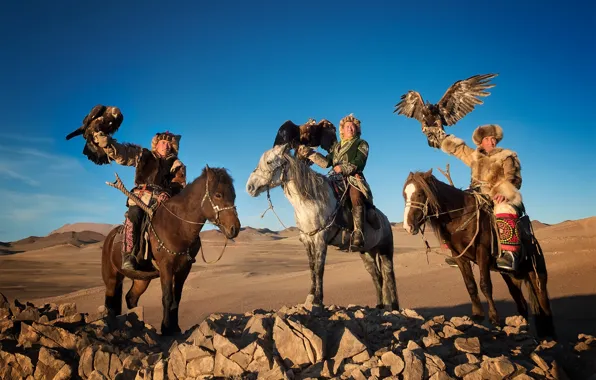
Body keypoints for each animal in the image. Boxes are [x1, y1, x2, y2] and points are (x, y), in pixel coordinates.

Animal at [102, 168, 240, 334]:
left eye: (234, 196)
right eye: (218, 195)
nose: (234, 228)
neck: (178, 226)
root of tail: (110, 238)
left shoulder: (184, 268)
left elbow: (177, 298)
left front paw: (175, 327)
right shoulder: (166, 266)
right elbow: (167, 297)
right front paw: (166, 328)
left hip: (142, 278)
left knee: (131, 298)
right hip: (111, 277)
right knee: (110, 302)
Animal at [402, 169, 556, 338]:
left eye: (420, 194)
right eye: (404, 195)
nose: (408, 226)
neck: (461, 215)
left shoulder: (483, 252)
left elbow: (485, 285)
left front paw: (494, 317)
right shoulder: (460, 256)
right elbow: (470, 285)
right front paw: (477, 315)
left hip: (537, 275)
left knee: (544, 305)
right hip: (512, 278)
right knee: (521, 303)